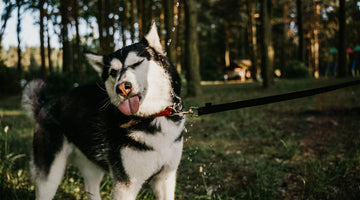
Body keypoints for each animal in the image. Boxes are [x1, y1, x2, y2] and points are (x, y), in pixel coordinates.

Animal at [21, 23, 186, 200]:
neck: (151, 117)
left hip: (90, 166)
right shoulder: (126, 185)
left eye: (136, 63)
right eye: (113, 72)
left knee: (90, 188)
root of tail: (45, 104)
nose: (122, 88)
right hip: (50, 176)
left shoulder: (166, 178)